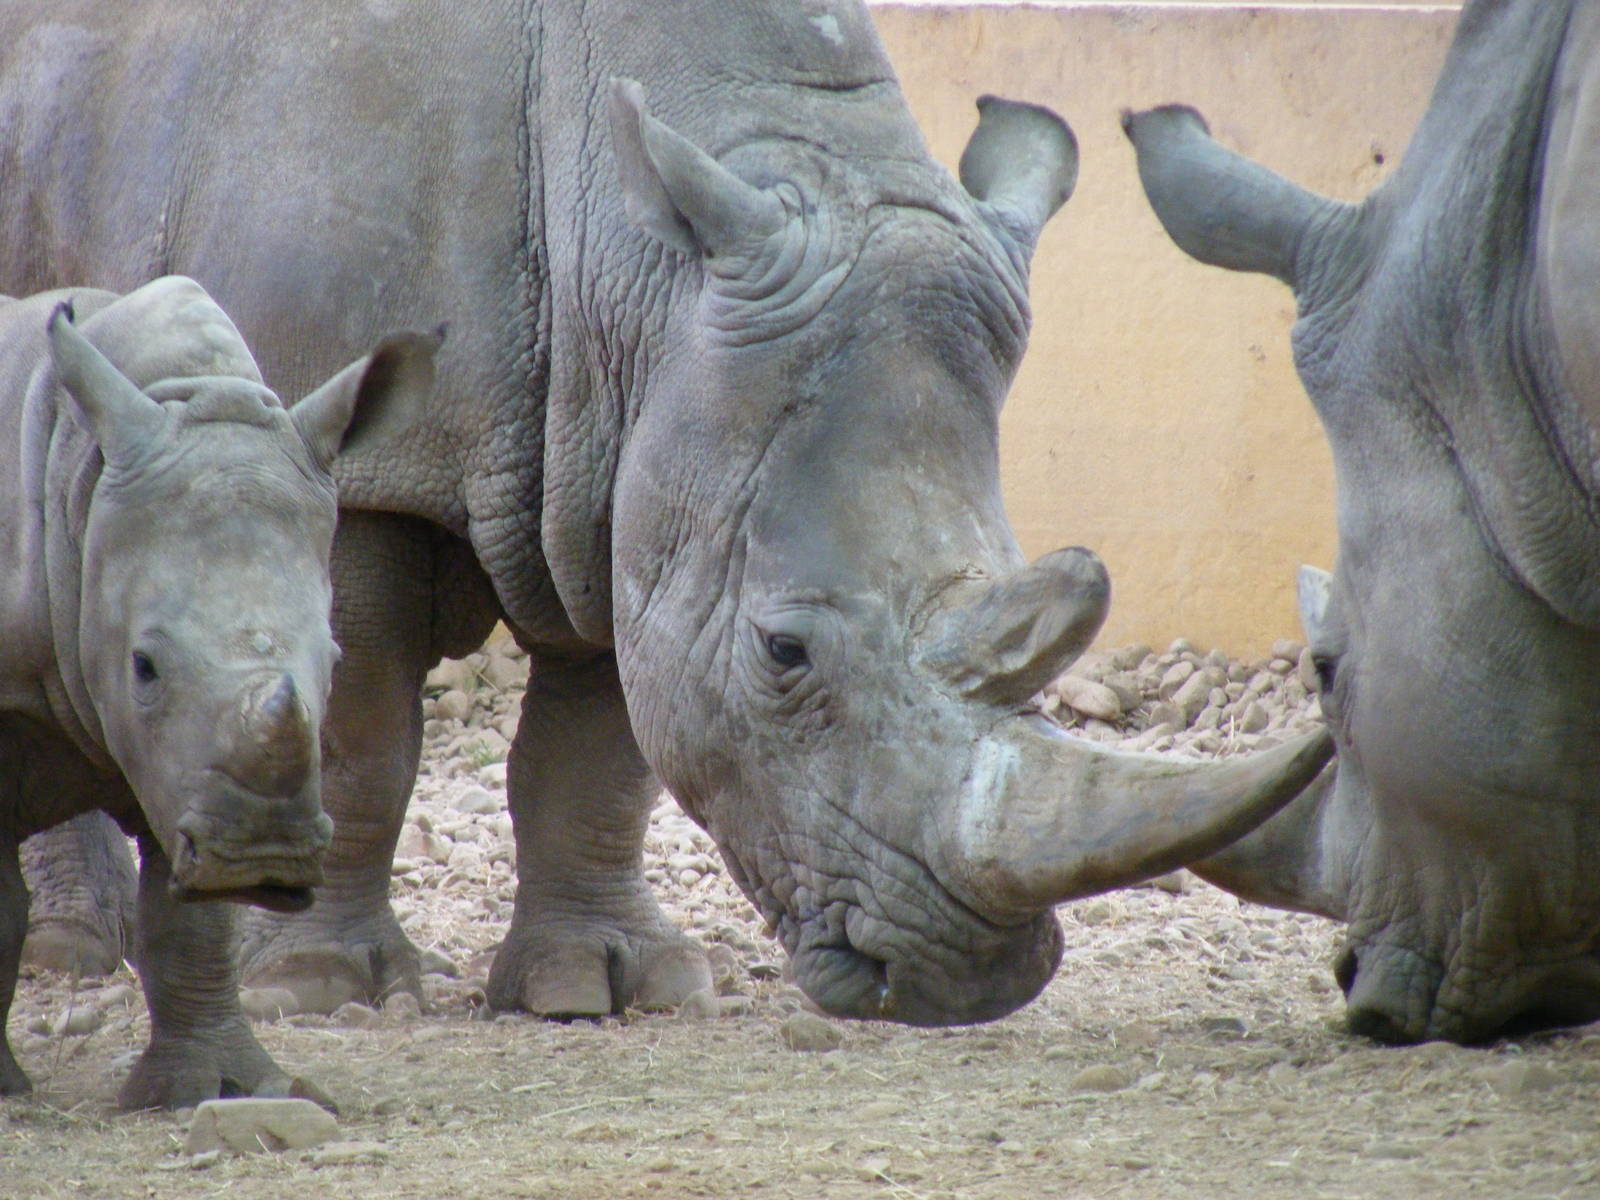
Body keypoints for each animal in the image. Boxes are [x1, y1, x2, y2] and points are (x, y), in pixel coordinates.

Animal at [0, 277, 435, 1105]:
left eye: (335, 660)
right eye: (143, 666)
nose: (264, 853)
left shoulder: (180, 767)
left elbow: (192, 924)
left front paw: (218, 1087)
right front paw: (8, 1091)